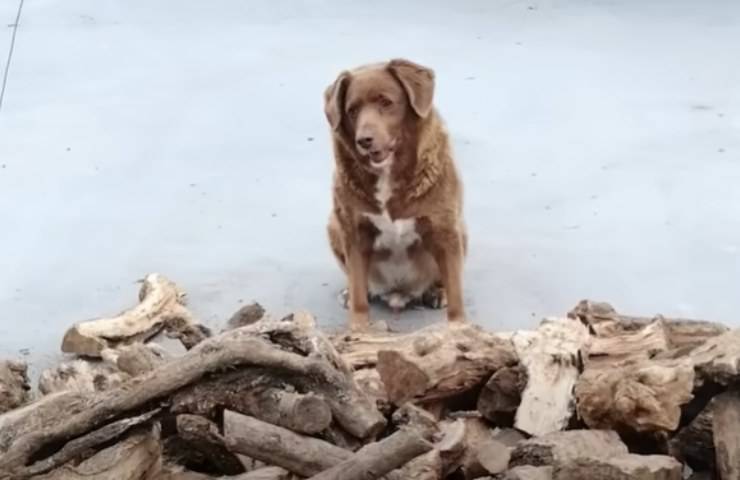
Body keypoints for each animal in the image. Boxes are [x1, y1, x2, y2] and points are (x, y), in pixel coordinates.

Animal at [320, 59, 466, 330]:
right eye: (352, 110)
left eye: (386, 102)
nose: (364, 140)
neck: (387, 174)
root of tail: (399, 293)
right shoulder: (354, 232)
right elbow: (358, 292)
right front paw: (358, 327)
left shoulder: (444, 228)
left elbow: (455, 292)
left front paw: (459, 327)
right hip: (334, 226)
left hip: (460, 232)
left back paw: (437, 292)